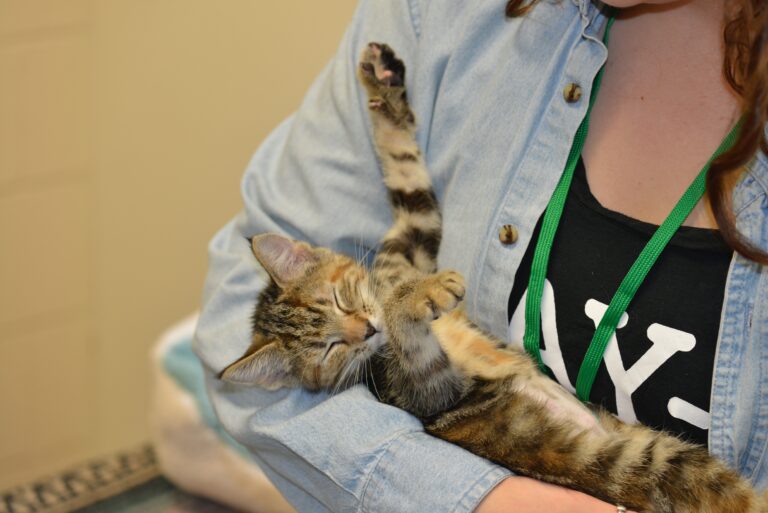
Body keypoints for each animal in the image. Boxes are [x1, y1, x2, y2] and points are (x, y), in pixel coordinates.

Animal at [219, 43, 764, 512]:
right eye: (330, 350)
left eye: (338, 298)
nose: (365, 331)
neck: (388, 285)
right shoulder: (424, 391)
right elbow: (418, 353)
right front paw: (417, 302)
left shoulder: (411, 243)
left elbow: (409, 181)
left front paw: (384, 88)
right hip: (656, 461)